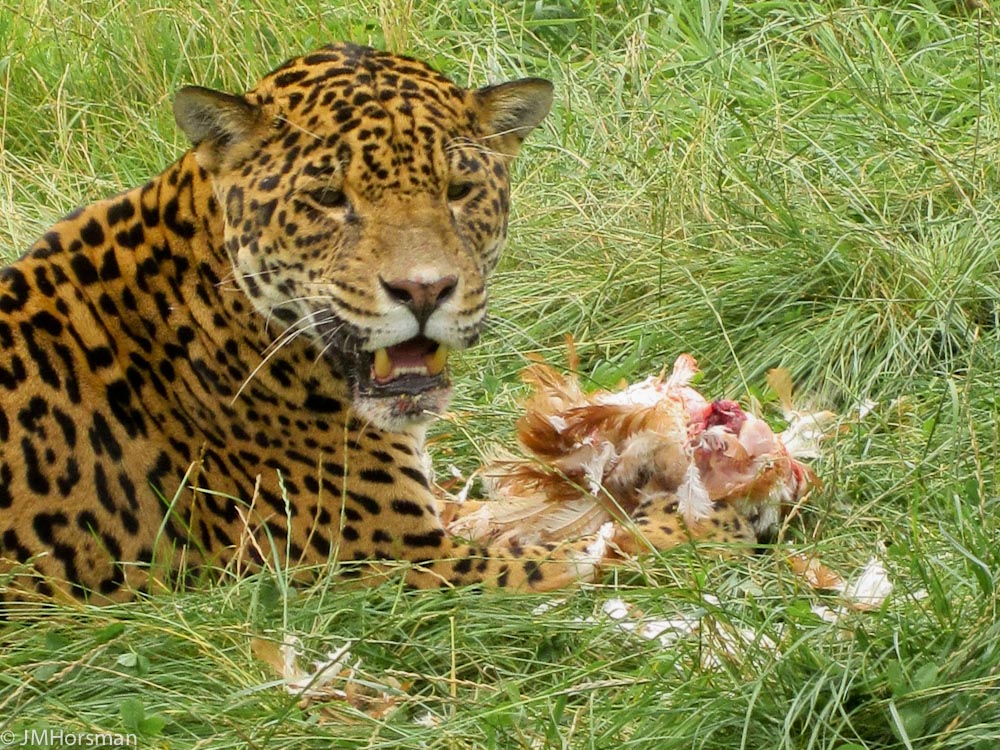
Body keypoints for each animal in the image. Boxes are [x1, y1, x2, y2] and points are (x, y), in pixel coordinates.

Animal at [0, 42, 757, 603]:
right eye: (328, 198)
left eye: (458, 189)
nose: (424, 289)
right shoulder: (395, 565)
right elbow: (596, 553)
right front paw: (721, 508)